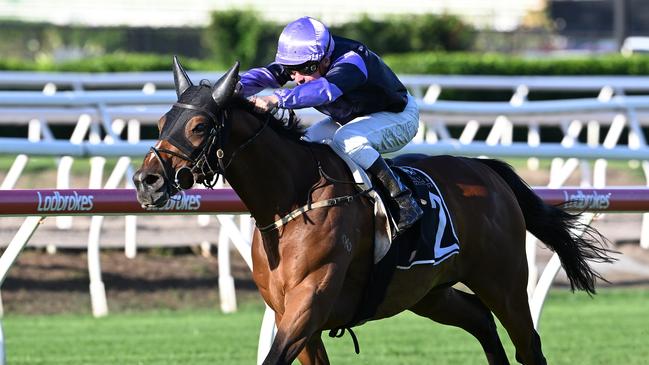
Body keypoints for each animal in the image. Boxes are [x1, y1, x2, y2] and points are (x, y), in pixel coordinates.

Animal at [133, 58, 612, 362]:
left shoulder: (310, 302)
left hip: (504, 282)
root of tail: (486, 169)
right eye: (161, 123)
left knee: (527, 344)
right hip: (427, 291)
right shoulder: (291, 314)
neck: (292, 200)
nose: (147, 181)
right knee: (481, 322)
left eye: (199, 126)